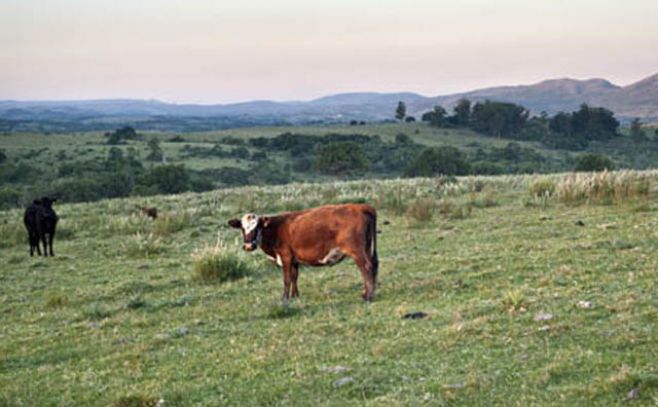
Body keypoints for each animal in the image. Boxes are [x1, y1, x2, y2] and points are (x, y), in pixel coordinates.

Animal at [227, 206, 376, 302]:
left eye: (257, 226)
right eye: (242, 228)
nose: (248, 246)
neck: (274, 229)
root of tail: (360, 207)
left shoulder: (286, 257)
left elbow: (287, 279)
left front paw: (285, 298)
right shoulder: (294, 259)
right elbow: (294, 277)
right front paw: (295, 295)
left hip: (356, 251)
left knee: (366, 268)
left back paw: (367, 296)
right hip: (367, 248)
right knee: (373, 265)